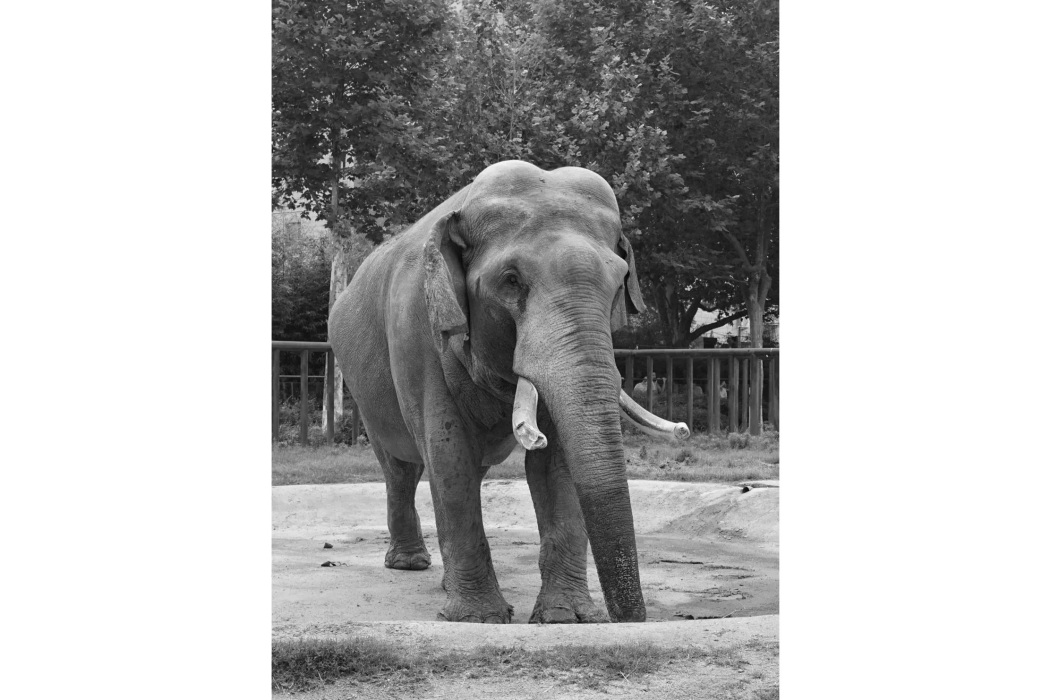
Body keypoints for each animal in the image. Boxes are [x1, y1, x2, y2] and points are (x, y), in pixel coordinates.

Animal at [328, 160, 686, 624]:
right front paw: (479, 618)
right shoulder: (415, 335)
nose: (628, 621)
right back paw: (410, 564)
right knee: (401, 467)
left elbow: (555, 464)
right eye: (511, 281)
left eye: (620, 280)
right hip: (364, 390)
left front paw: (566, 618)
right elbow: (449, 453)